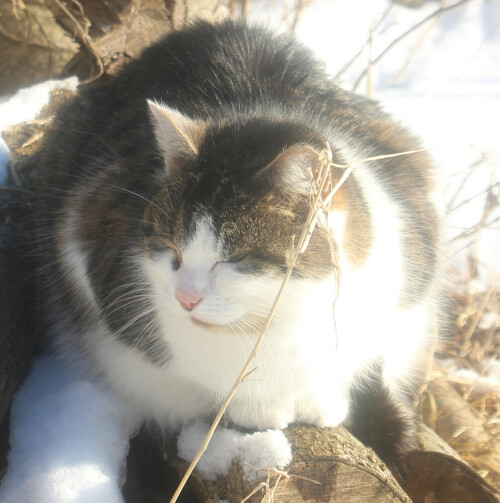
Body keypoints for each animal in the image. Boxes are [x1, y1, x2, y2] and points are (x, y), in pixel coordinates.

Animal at [35, 18, 440, 468]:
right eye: (172, 248)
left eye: (235, 259)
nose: (185, 299)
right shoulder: (89, 229)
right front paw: (258, 408)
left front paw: (323, 399)